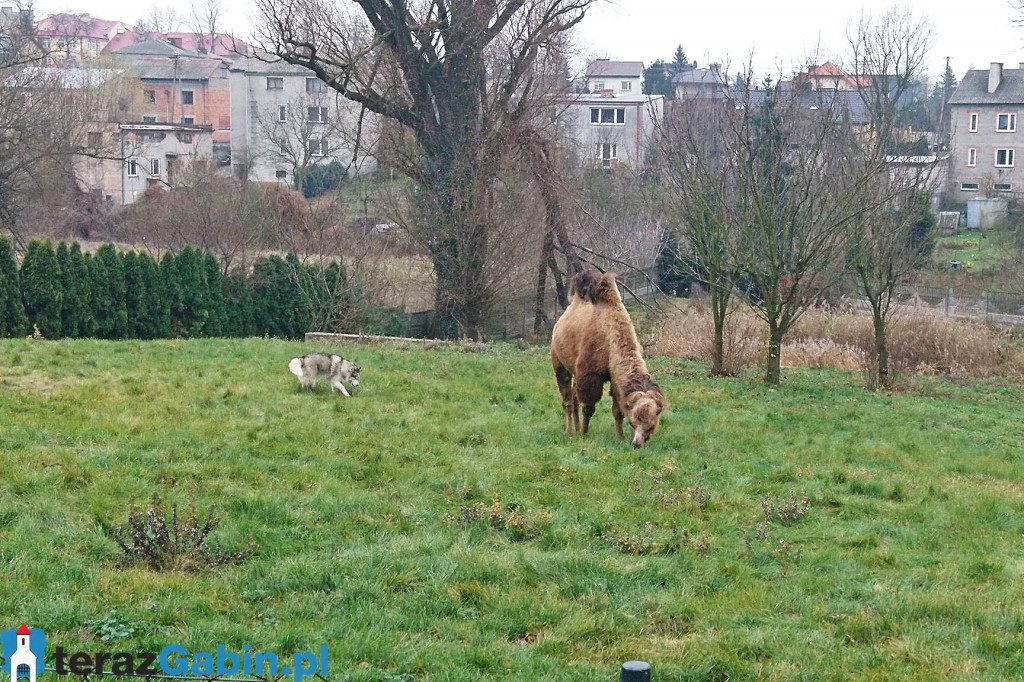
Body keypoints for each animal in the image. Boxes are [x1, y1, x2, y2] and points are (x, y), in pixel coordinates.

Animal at [548, 268, 667, 448]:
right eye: (633, 423)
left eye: (652, 425)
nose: (636, 444)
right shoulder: (590, 374)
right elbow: (589, 408)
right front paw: (584, 433)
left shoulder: (615, 377)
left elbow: (618, 411)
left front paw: (620, 436)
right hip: (559, 361)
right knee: (567, 398)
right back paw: (569, 431)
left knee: (575, 399)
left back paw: (575, 427)